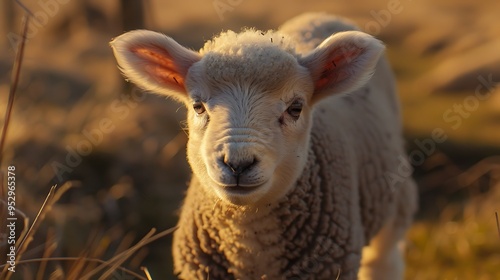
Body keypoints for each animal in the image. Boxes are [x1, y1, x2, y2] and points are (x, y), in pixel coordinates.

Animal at [110, 12, 418, 278]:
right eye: (198, 106)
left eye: (295, 108)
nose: (237, 164)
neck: (248, 233)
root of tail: (321, 14)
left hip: (396, 196)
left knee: (384, 260)